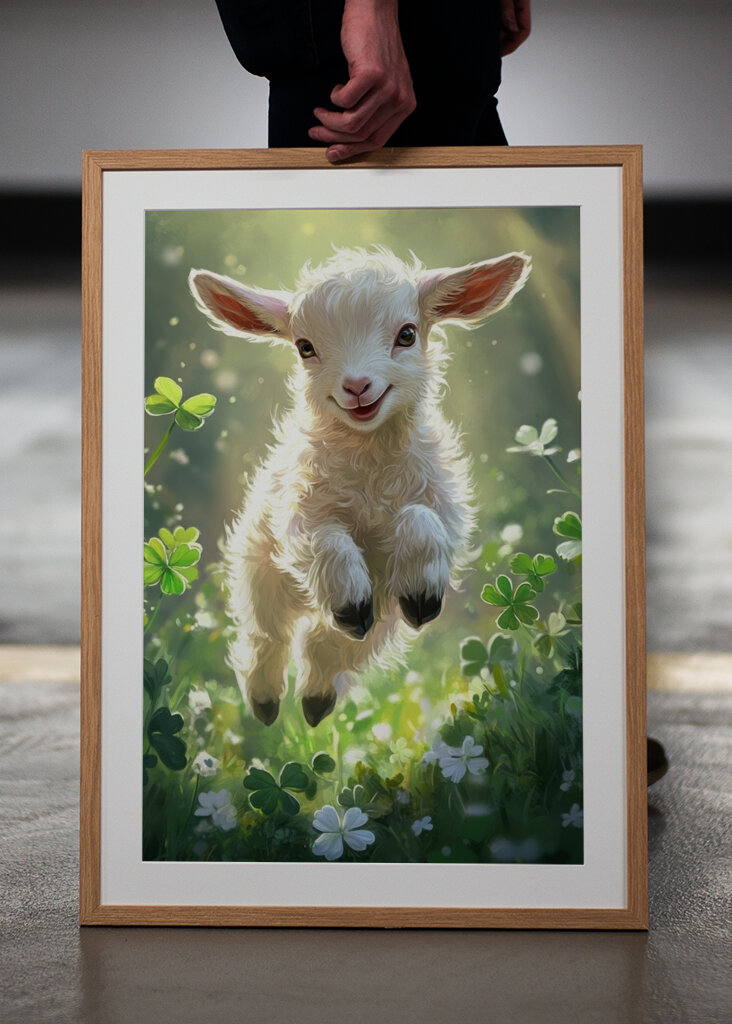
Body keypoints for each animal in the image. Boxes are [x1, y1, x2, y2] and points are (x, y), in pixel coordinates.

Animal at [189, 247, 530, 726]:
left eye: (407, 334)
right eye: (305, 347)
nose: (356, 386)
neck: (371, 469)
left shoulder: (442, 509)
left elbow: (420, 521)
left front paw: (421, 593)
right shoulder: (299, 517)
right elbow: (328, 542)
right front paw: (350, 599)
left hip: (383, 616)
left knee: (331, 644)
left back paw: (316, 700)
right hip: (262, 575)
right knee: (268, 636)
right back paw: (266, 701)